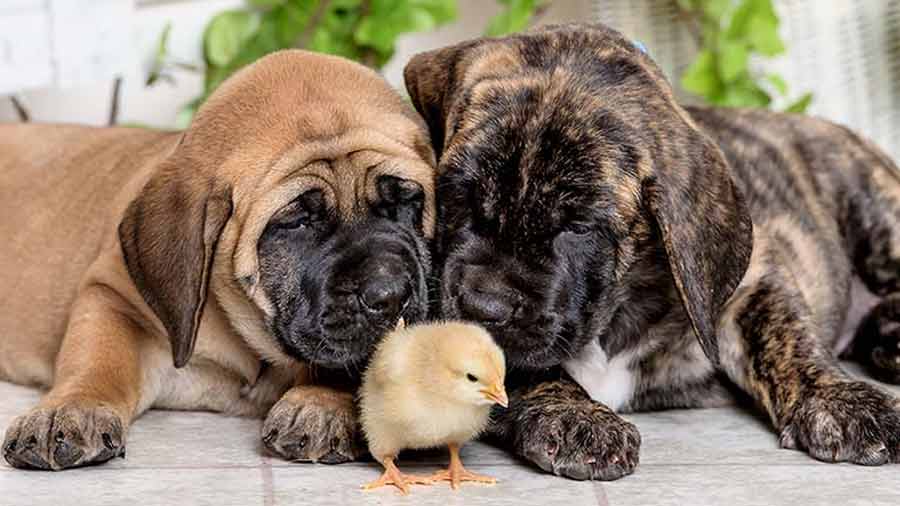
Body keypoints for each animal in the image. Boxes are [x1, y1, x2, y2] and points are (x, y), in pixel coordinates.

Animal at [0, 50, 436, 470]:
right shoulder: (114, 295)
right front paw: (71, 409)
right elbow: (97, 358)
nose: (389, 295)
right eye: (296, 221)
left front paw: (320, 405)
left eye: (407, 201)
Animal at [406, 23, 900, 480]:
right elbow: (517, 369)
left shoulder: (752, 281)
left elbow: (787, 338)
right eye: (458, 193)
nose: (483, 306)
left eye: (579, 227)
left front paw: (841, 399)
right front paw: (577, 415)